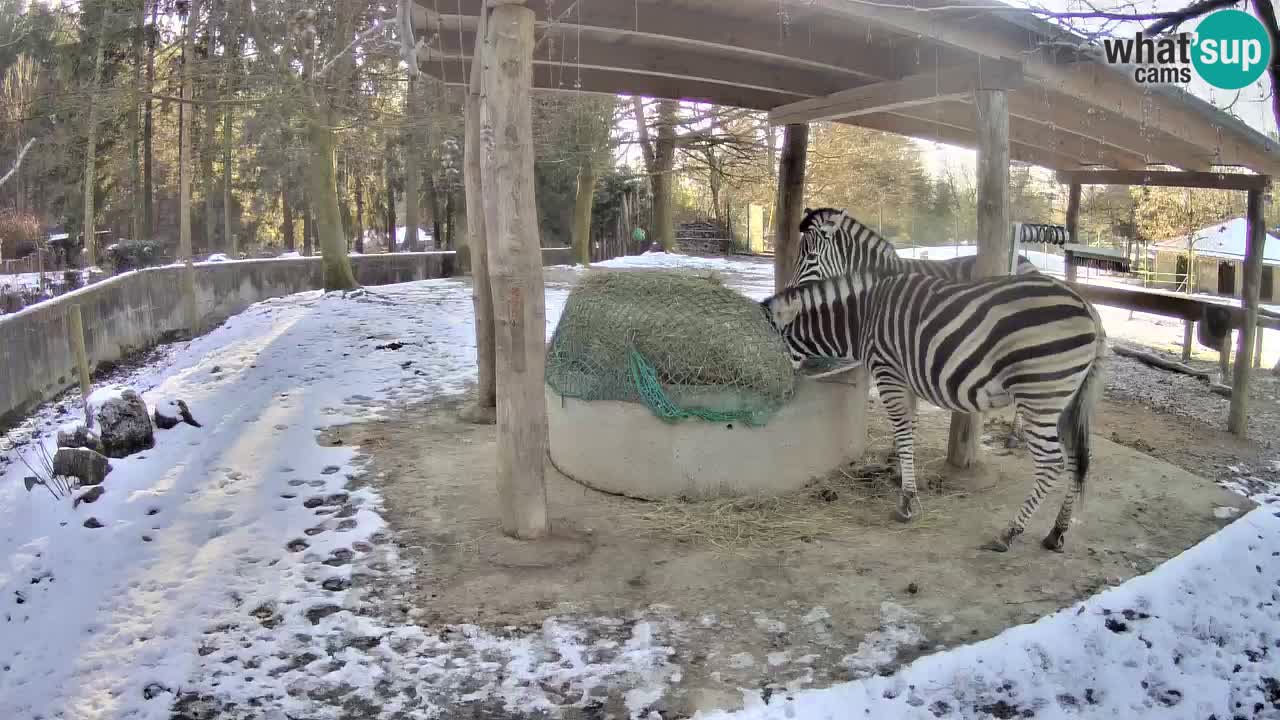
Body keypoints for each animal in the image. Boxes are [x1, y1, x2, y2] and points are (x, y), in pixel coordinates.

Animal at [757, 267, 1111, 548]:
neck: (861, 319)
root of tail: (1088, 308)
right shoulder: (905, 380)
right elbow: (908, 434)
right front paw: (902, 480)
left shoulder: (888, 373)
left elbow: (902, 433)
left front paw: (906, 502)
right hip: (1066, 401)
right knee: (1076, 459)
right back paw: (1056, 532)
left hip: (1040, 394)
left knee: (1051, 463)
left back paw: (1009, 532)